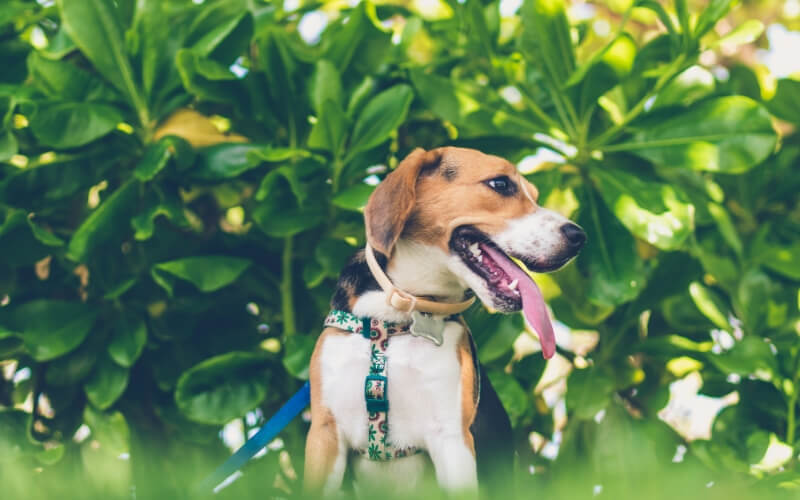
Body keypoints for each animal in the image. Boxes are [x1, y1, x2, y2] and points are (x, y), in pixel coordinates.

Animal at [304, 146, 584, 494]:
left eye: (534, 195)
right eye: (501, 184)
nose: (579, 236)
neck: (398, 318)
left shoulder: (452, 439)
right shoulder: (325, 434)